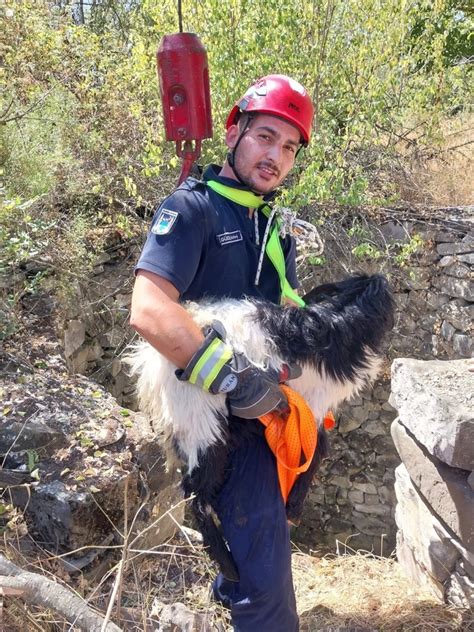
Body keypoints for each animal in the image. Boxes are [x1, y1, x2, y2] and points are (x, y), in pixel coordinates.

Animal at [128, 274, 394, 580]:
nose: (381, 280)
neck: (333, 319)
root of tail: (152, 372)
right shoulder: (313, 402)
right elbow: (316, 452)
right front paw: (294, 506)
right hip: (204, 426)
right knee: (196, 494)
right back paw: (228, 564)